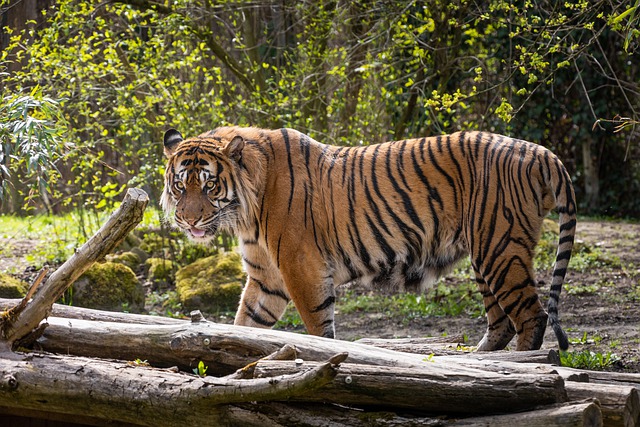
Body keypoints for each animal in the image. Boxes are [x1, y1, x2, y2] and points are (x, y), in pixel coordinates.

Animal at [160, 126, 576, 352]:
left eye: (209, 185)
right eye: (180, 185)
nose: (187, 219)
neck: (245, 211)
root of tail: (542, 152)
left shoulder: (302, 269)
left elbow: (318, 328)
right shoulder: (267, 279)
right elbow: (246, 324)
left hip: (499, 247)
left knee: (531, 316)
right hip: (487, 252)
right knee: (501, 320)